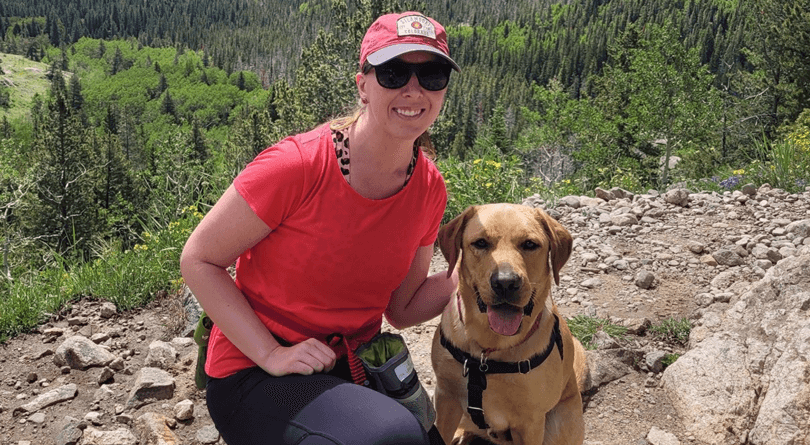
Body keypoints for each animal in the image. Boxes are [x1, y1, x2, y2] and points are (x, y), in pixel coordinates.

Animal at [432, 204, 584, 444]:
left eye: (530, 244)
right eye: (481, 243)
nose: (505, 283)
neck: (487, 351)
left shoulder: (530, 424)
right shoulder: (446, 399)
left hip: (558, 422)